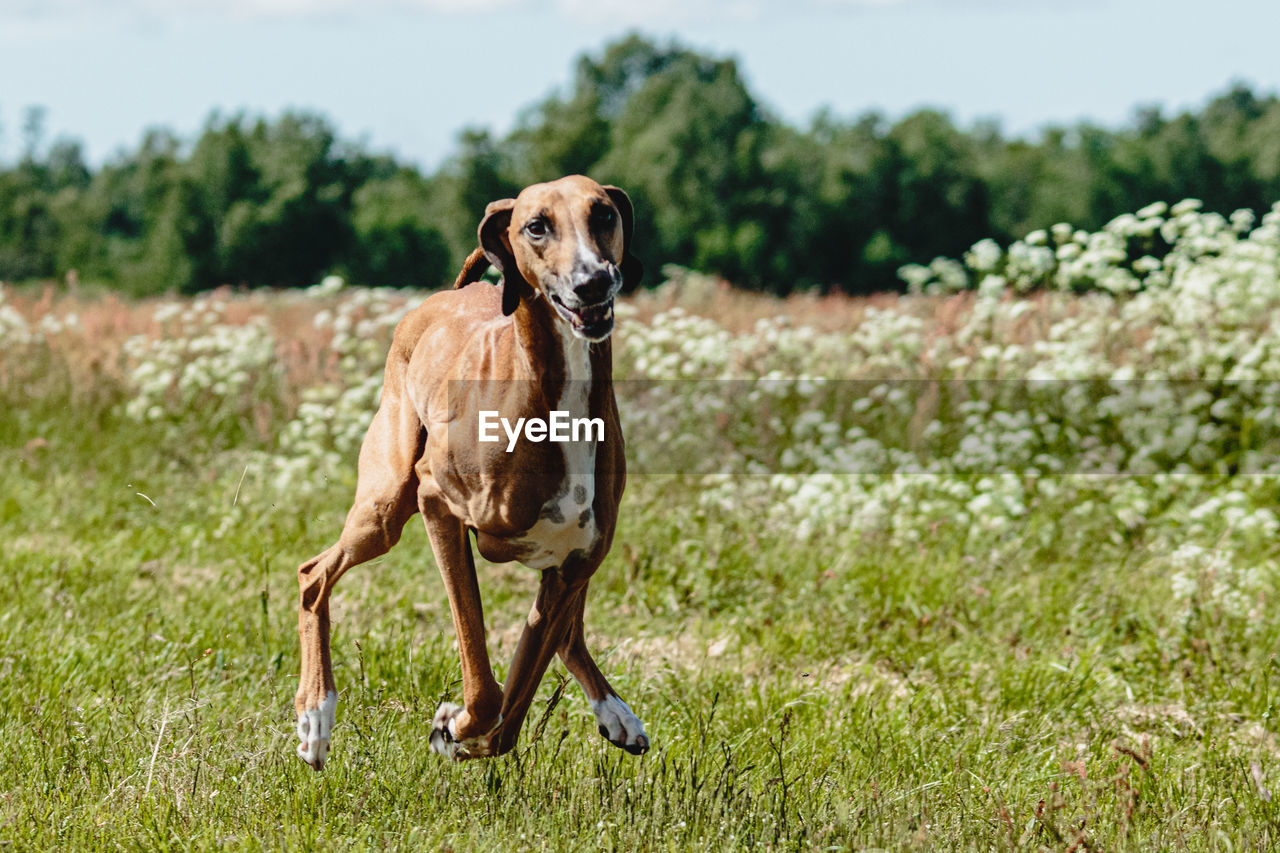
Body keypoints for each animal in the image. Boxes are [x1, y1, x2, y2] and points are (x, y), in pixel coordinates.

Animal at [294, 172, 645, 763]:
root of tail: (443, 298)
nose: (593, 283)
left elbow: (510, 715)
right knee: (313, 576)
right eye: (536, 225)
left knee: (567, 635)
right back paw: (316, 715)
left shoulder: (569, 568)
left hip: (575, 564)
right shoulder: (437, 503)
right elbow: (486, 689)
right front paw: (452, 727)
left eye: (603, 214)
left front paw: (460, 734)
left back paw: (615, 712)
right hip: (385, 506)